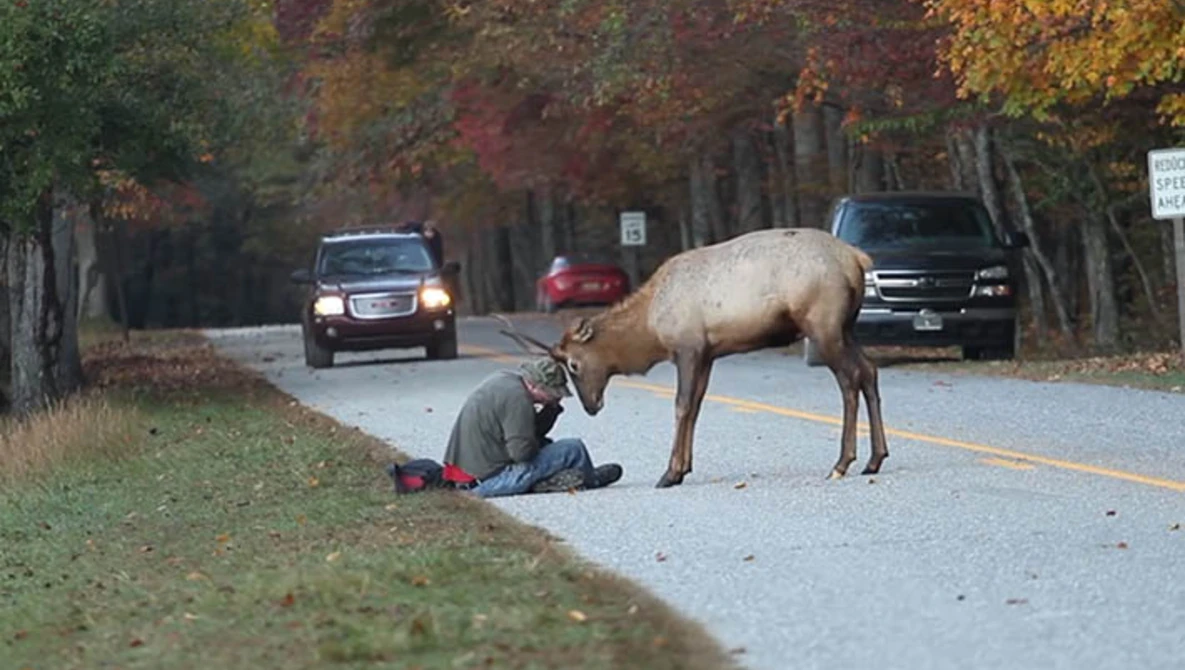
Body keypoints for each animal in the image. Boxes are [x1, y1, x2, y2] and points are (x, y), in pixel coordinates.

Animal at [496, 227, 889, 489]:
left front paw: (669, 472)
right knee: (869, 371)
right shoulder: (708, 353)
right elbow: (697, 406)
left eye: (574, 364)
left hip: (823, 325)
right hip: (847, 326)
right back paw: (874, 459)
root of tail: (856, 258)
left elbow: (682, 405)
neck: (651, 327)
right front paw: (683, 468)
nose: (592, 406)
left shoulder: (687, 347)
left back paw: (842, 463)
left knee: (849, 379)